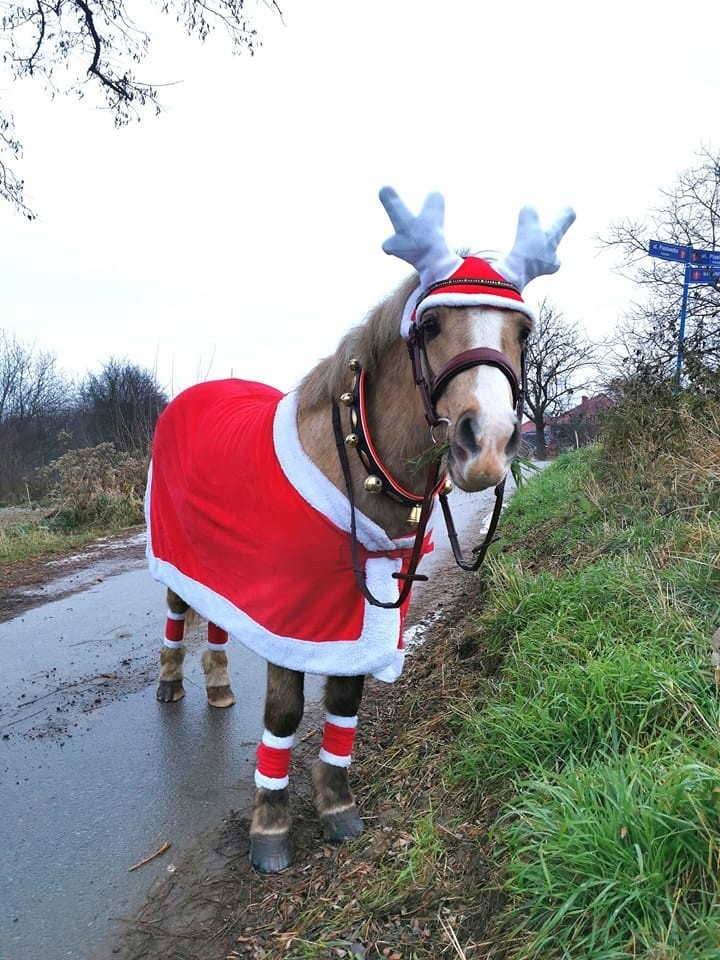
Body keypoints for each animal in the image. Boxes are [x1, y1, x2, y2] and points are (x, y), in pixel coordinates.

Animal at [145, 186, 572, 872]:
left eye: (523, 330)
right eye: (429, 326)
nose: (486, 446)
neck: (357, 466)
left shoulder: (358, 611)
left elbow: (344, 703)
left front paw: (336, 805)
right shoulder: (293, 616)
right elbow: (285, 712)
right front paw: (270, 828)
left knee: (216, 620)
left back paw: (217, 685)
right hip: (175, 554)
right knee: (177, 608)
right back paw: (169, 684)